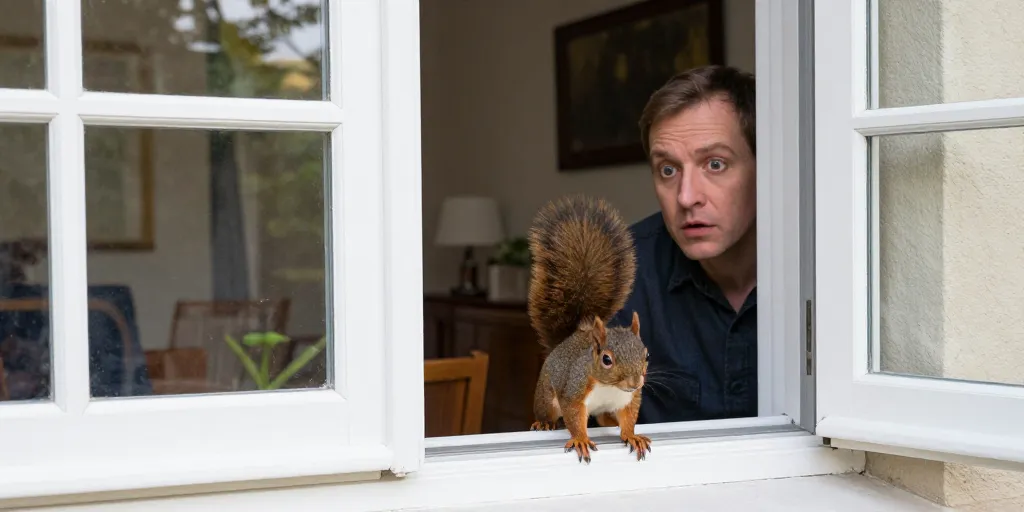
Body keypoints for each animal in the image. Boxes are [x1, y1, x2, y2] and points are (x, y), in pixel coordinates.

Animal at [526, 194, 650, 463]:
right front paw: (581, 439)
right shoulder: (574, 390)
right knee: (547, 411)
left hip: (605, 411)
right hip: (546, 394)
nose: (636, 382)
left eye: (646, 355)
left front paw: (632, 435)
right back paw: (543, 423)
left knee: (604, 418)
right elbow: (574, 417)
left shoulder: (628, 399)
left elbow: (629, 419)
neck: (610, 387)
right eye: (606, 359)